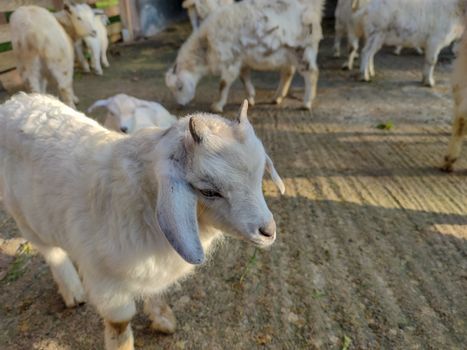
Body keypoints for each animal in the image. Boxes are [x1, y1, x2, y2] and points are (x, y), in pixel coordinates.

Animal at [0, 93, 286, 350]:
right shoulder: (106, 283)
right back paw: (72, 290)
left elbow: (154, 289)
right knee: (51, 252)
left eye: (260, 175)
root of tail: (15, 102)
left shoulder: (153, 267)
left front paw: (162, 318)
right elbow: (120, 325)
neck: (142, 198)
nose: (268, 231)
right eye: (208, 191)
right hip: (25, 218)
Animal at [167, 0, 326, 112]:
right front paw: (250, 98)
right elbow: (244, 78)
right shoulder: (241, 61)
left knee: (312, 74)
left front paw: (217, 106)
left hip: (303, 50)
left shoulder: (230, 60)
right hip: (288, 54)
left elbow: (223, 84)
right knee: (288, 72)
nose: (180, 105)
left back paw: (306, 103)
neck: (206, 45)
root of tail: (312, 9)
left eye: (179, 87)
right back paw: (277, 98)